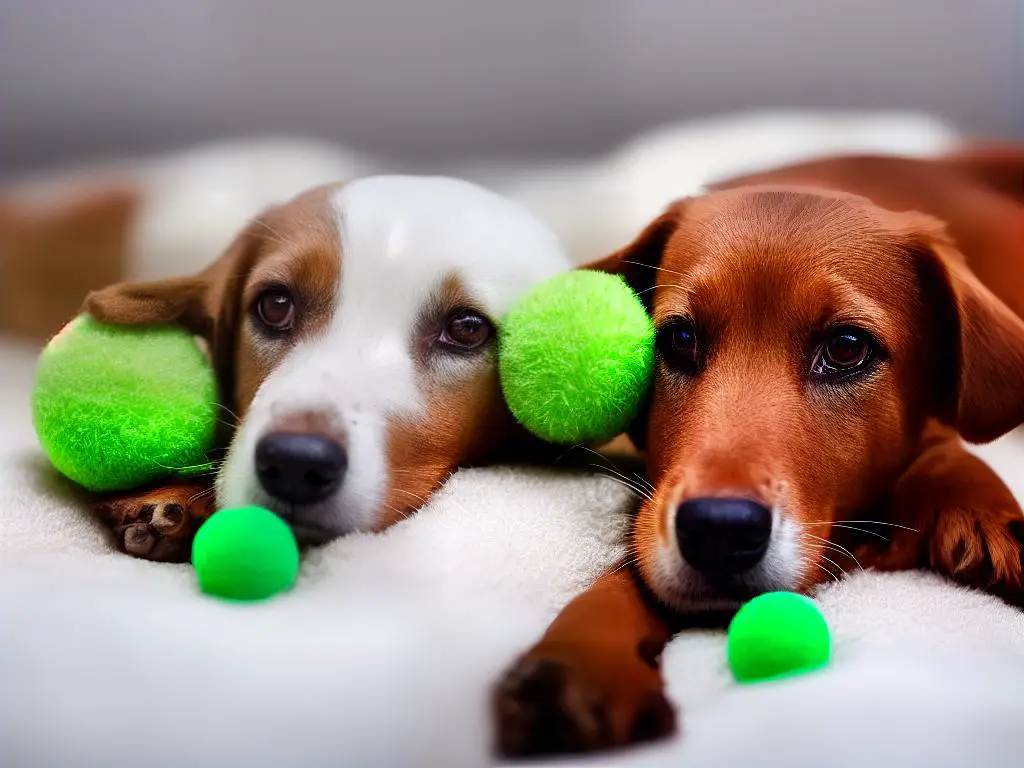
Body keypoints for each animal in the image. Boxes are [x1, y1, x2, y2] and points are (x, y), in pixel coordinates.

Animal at [491, 148, 1024, 757]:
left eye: (847, 348)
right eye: (678, 339)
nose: (718, 531)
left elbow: (948, 455)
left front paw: (985, 513)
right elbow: (627, 573)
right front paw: (584, 654)